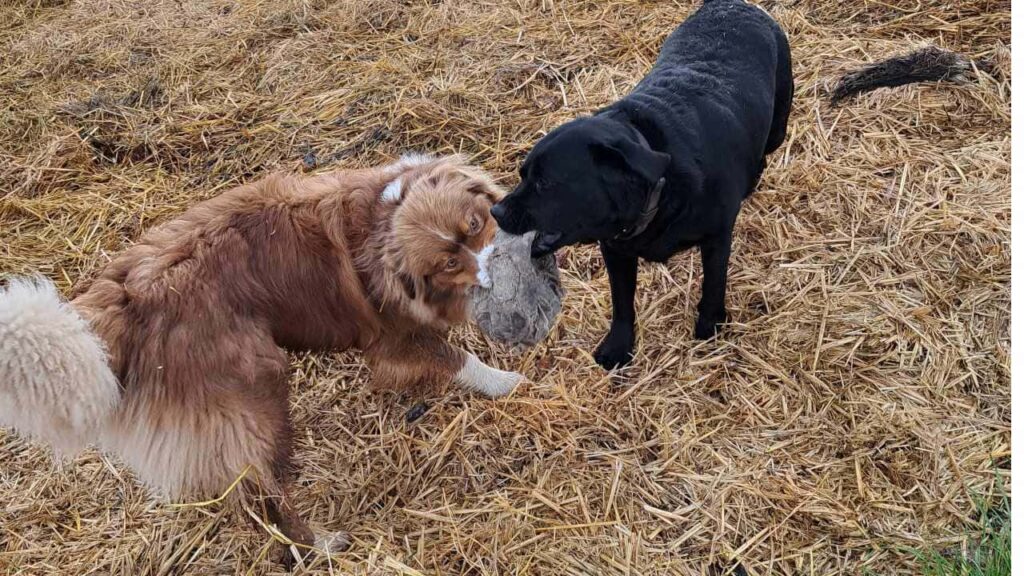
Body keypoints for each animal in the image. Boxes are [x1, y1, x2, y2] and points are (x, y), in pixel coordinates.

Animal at [0, 152, 524, 561]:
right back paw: (319, 545)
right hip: (254, 394)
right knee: (263, 495)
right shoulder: (393, 339)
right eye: (448, 262)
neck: (381, 218)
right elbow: (457, 358)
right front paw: (508, 383)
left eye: (474, 224)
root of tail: (121, 300)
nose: (500, 272)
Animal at [489, 0, 790, 366]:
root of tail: (731, 5)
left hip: (777, 127)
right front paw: (618, 346)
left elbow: (713, 285)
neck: (660, 187)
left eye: (546, 183)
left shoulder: (717, 239)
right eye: (523, 175)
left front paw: (710, 326)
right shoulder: (615, 250)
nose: (495, 211)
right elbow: (622, 302)